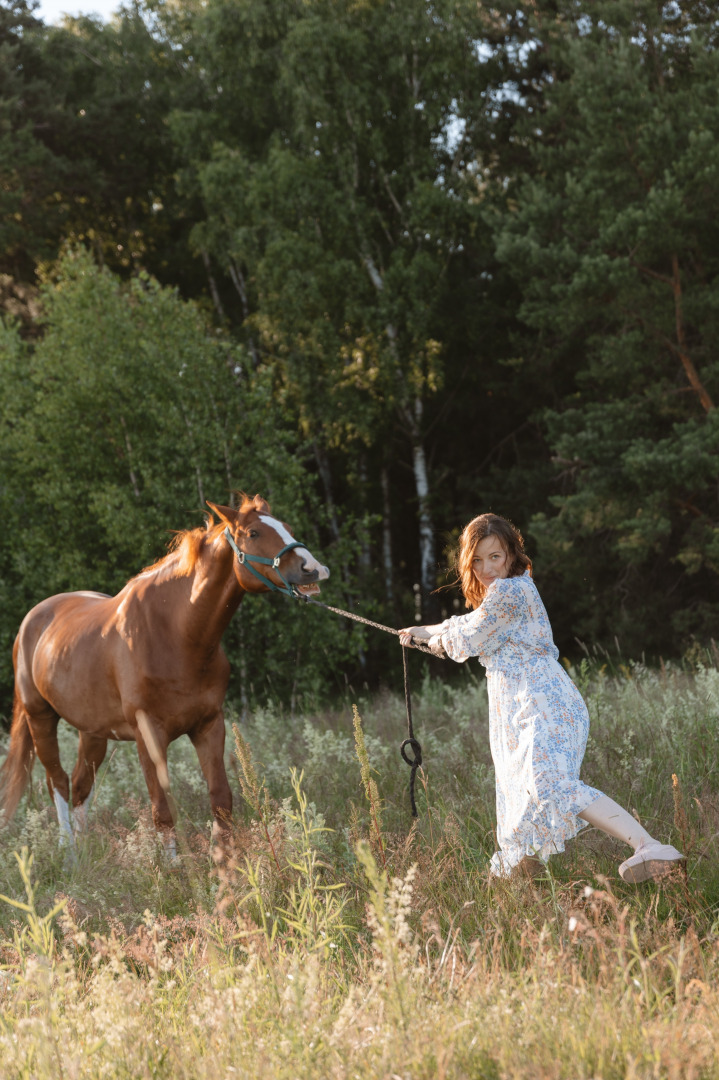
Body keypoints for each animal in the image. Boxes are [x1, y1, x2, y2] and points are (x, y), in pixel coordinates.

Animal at [0, 494, 328, 855]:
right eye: (253, 533)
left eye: (288, 527)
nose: (313, 568)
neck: (175, 635)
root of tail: (33, 620)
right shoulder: (148, 735)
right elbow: (163, 811)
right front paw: (175, 869)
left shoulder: (209, 725)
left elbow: (221, 800)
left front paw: (226, 863)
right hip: (40, 717)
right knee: (56, 781)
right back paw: (69, 855)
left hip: (93, 731)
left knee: (80, 785)